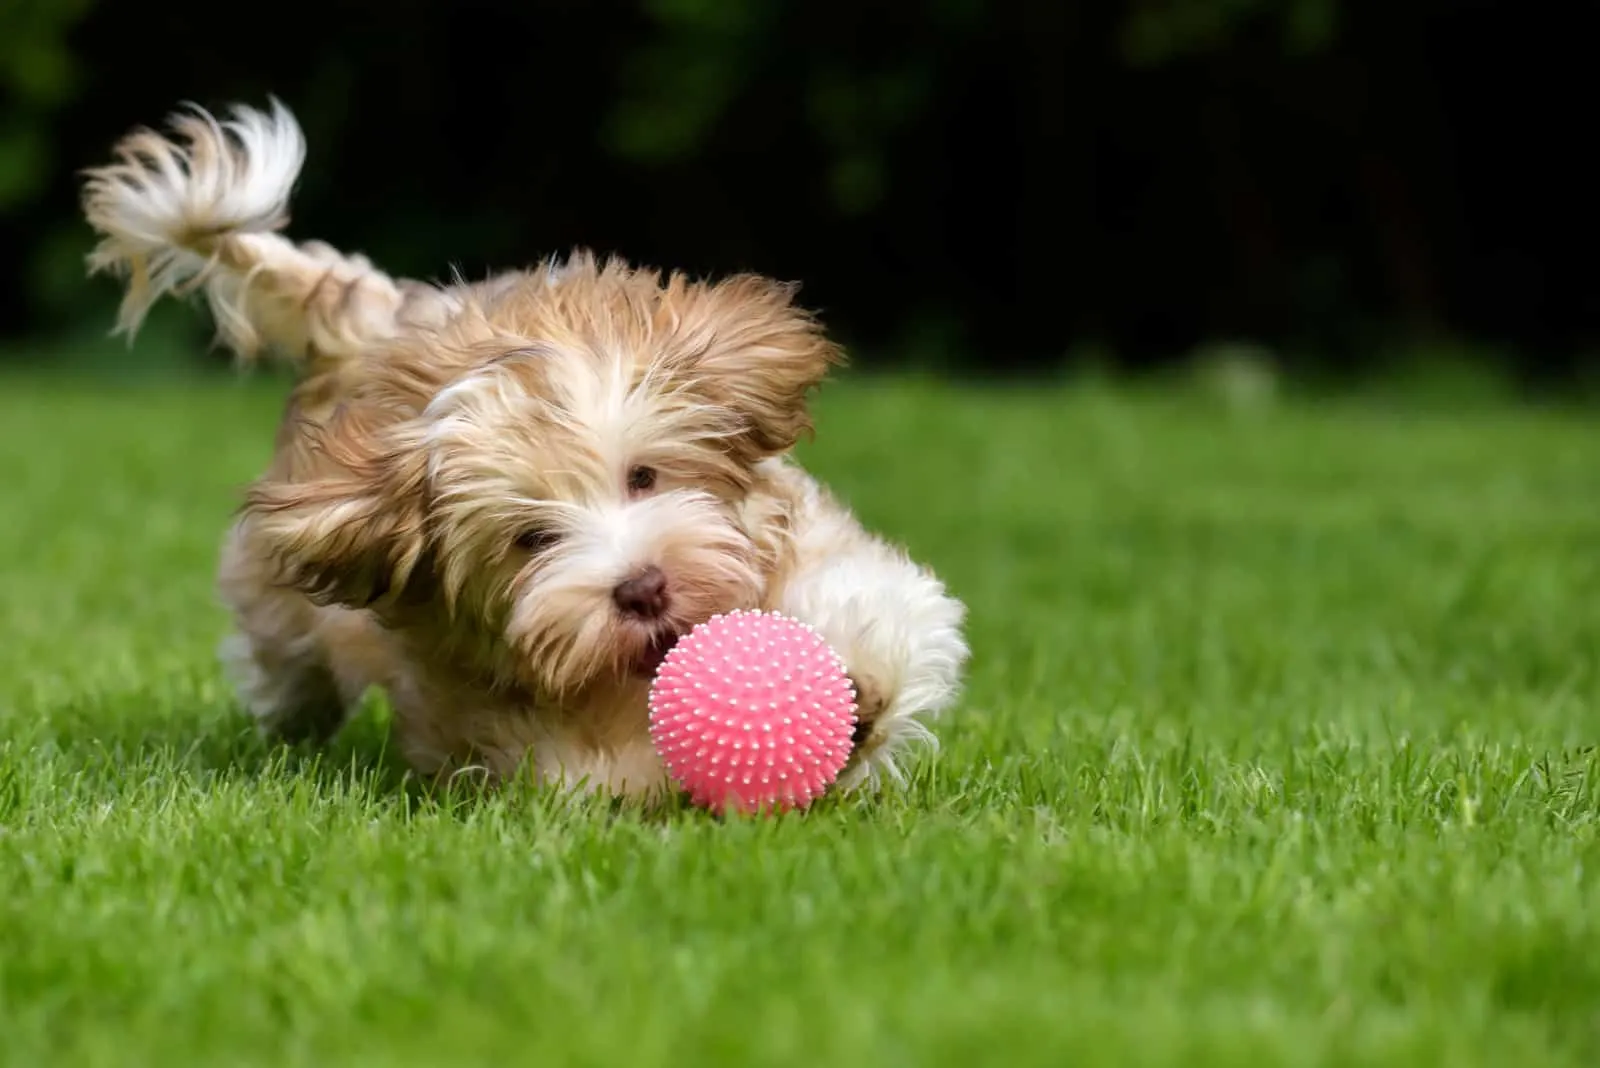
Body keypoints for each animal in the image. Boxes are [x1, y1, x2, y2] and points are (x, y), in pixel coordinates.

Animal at [81, 102, 966, 799]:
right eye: (532, 539)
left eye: (644, 476)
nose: (642, 588)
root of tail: (365, 326)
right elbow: (583, 768)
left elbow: (878, 603)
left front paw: (855, 693)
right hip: (279, 602)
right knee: (287, 661)